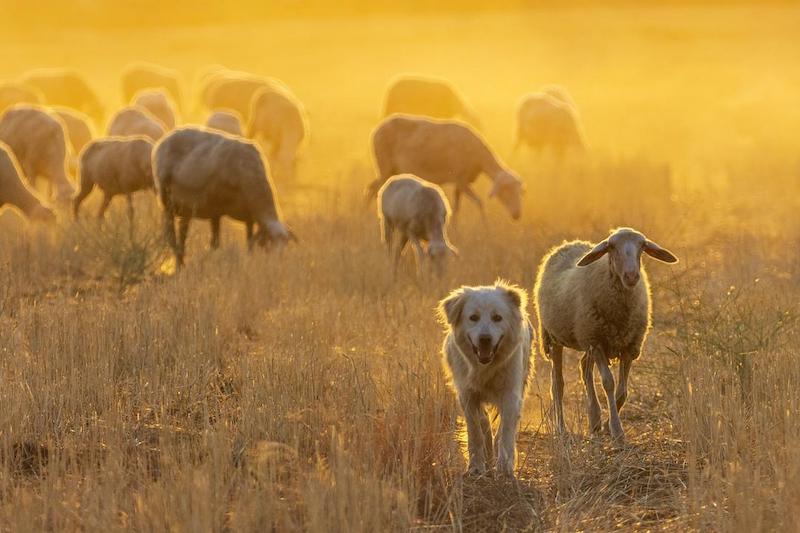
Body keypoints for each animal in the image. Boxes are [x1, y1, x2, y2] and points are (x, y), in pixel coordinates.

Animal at [152, 127, 294, 264]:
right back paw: (179, 263)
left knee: (182, 233)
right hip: (167, 202)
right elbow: (215, 243)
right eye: (270, 244)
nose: (276, 264)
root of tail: (164, 140)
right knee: (171, 235)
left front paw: (249, 259)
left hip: (185, 207)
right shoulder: (216, 209)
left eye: (285, 246)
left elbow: (249, 242)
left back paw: (181, 260)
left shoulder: (249, 217)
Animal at [368, 113, 524, 219]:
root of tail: (376, 131)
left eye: (519, 191)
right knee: (374, 190)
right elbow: (479, 203)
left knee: (371, 187)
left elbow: (456, 209)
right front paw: (487, 231)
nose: (517, 215)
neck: (478, 157)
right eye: (505, 190)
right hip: (384, 165)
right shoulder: (461, 180)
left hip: (392, 170)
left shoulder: (460, 182)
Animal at [440, 280, 536, 476]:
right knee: (484, 421)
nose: (485, 339)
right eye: (473, 317)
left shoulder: (511, 394)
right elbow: (475, 431)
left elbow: (506, 431)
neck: (485, 367)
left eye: (497, 317)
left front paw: (505, 467)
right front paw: (476, 466)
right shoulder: (467, 394)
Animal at [536, 227, 680, 438]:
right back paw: (561, 428)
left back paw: (595, 419)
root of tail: (569, 244)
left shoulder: (629, 346)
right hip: (556, 338)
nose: (631, 276)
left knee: (584, 367)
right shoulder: (598, 343)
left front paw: (606, 425)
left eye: (642, 246)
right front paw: (617, 430)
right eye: (612, 247)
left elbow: (622, 391)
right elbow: (609, 383)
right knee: (557, 385)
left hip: (586, 338)